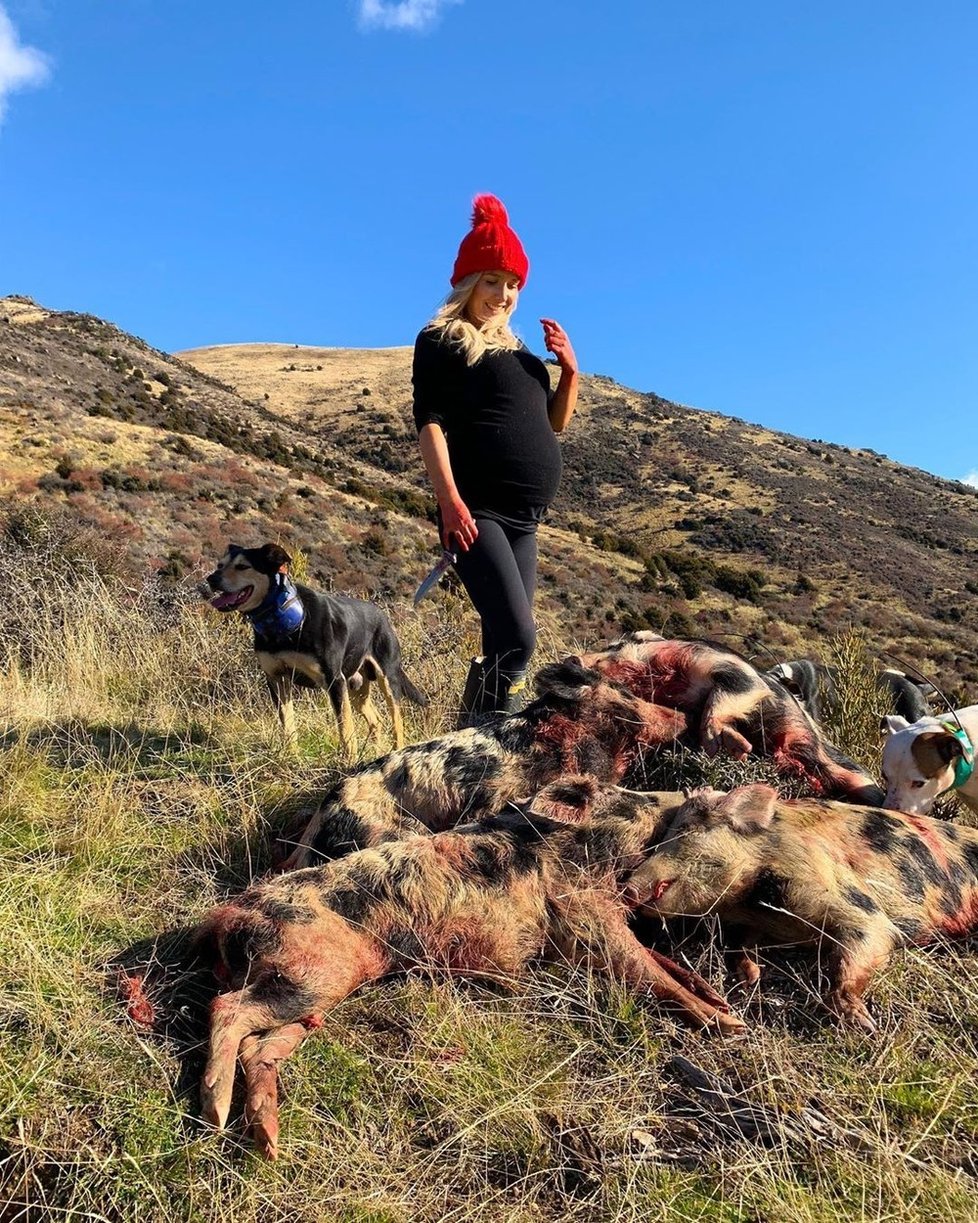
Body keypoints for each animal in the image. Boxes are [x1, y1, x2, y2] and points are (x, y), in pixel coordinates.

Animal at [206, 545, 422, 753]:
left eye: (243, 566)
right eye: (219, 565)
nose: (211, 579)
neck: (282, 623)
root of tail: (382, 615)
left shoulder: (334, 681)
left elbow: (346, 729)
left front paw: (348, 760)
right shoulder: (276, 678)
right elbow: (287, 723)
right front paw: (291, 755)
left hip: (386, 678)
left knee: (397, 721)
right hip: (355, 684)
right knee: (376, 720)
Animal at [577, 635, 880, 807]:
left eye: (615, 646)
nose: (574, 659)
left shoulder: (732, 670)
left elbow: (727, 695)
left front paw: (729, 747)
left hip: (833, 762)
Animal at [623, 777, 978, 1027]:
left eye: (684, 829)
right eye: (665, 832)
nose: (627, 887)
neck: (753, 901)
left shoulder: (844, 894)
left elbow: (867, 938)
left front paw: (864, 1024)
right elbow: (741, 945)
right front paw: (751, 977)